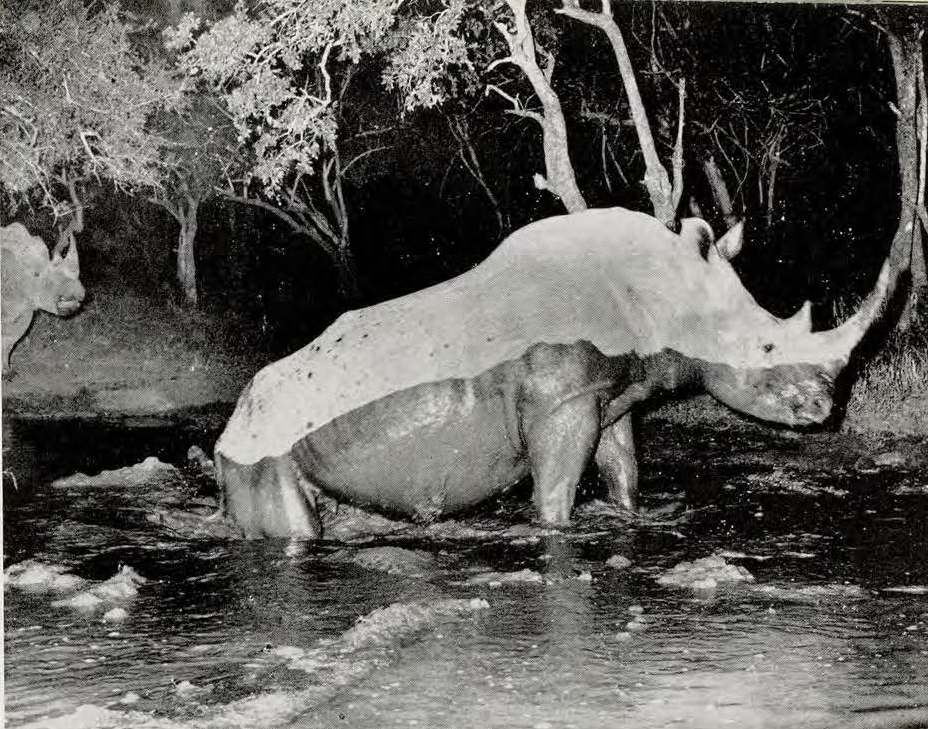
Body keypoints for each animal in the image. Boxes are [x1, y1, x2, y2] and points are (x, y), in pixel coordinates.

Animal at [215, 207, 898, 539]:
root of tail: (232, 421)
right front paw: (556, 531)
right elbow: (556, 492)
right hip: (260, 448)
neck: (663, 289)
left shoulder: (612, 395)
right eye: (764, 346)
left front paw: (630, 517)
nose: (826, 409)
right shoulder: (562, 399)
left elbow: (623, 467)